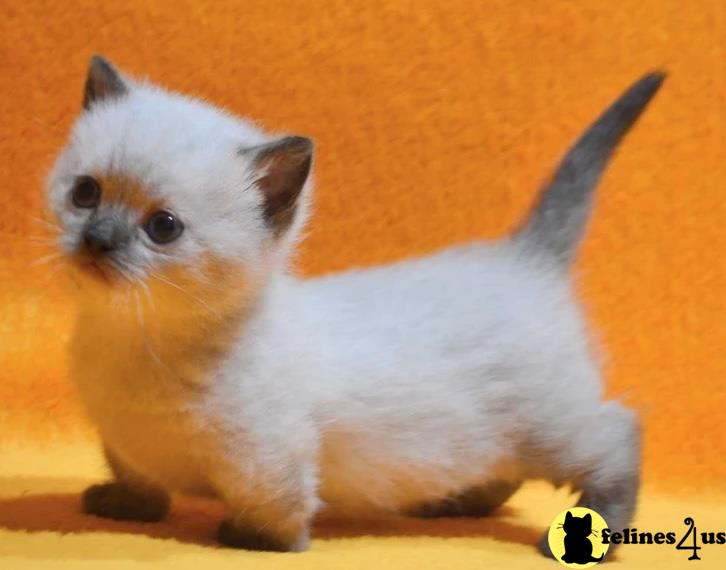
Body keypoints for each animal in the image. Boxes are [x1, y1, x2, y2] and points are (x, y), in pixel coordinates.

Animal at [47, 56, 664, 556]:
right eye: (86, 193)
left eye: (163, 227)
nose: (97, 240)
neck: (134, 339)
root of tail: (524, 254)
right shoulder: (123, 441)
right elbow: (141, 484)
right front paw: (125, 508)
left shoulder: (267, 457)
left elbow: (277, 512)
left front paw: (254, 541)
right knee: (502, 472)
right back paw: (451, 503)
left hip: (551, 427)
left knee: (618, 433)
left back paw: (598, 534)